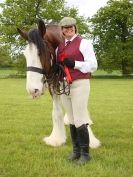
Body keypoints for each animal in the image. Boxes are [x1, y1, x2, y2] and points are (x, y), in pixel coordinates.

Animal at [17, 19, 101, 148]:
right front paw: (57, 138)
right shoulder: (53, 85)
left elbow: (81, 113)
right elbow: (56, 112)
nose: (33, 90)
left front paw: (91, 140)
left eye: (41, 53)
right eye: (25, 55)